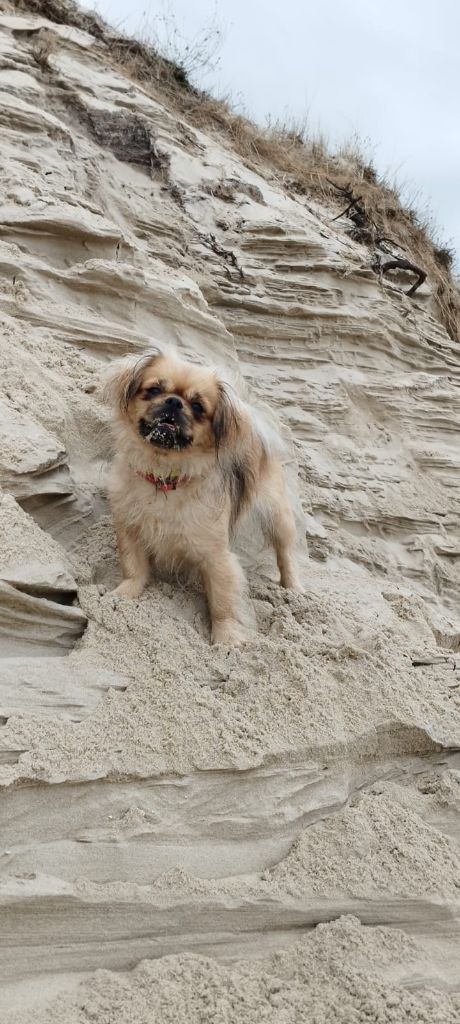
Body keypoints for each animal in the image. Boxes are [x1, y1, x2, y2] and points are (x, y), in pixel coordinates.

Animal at [101, 348, 301, 643]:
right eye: (154, 390)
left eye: (197, 407)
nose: (174, 402)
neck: (164, 477)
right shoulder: (130, 530)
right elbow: (134, 568)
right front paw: (122, 595)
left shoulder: (216, 556)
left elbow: (222, 601)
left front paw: (226, 638)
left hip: (278, 516)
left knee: (285, 554)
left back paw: (294, 589)